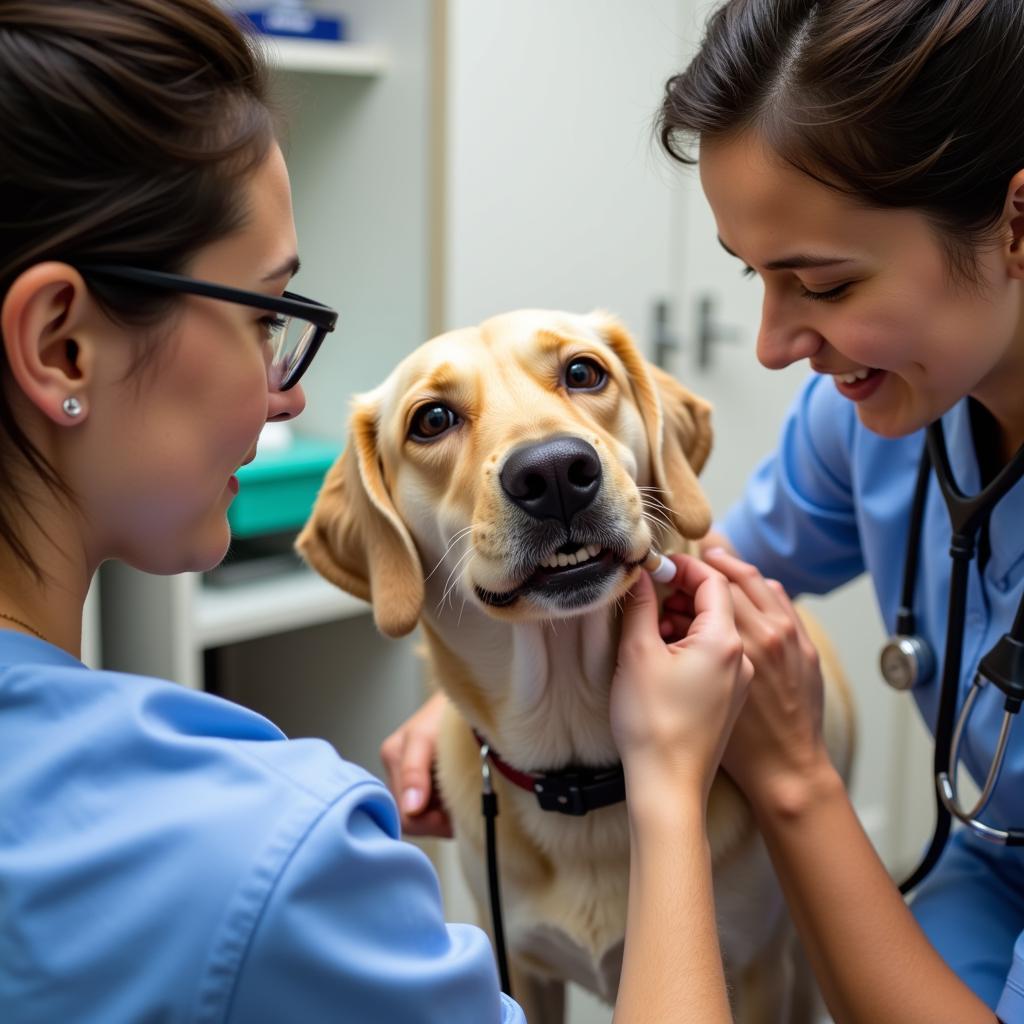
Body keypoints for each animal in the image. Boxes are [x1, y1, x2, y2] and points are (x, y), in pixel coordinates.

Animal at [299, 309, 856, 1024]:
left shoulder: (758, 971)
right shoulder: (522, 968)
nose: (556, 472)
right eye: (432, 419)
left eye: (584, 372)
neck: (579, 770)